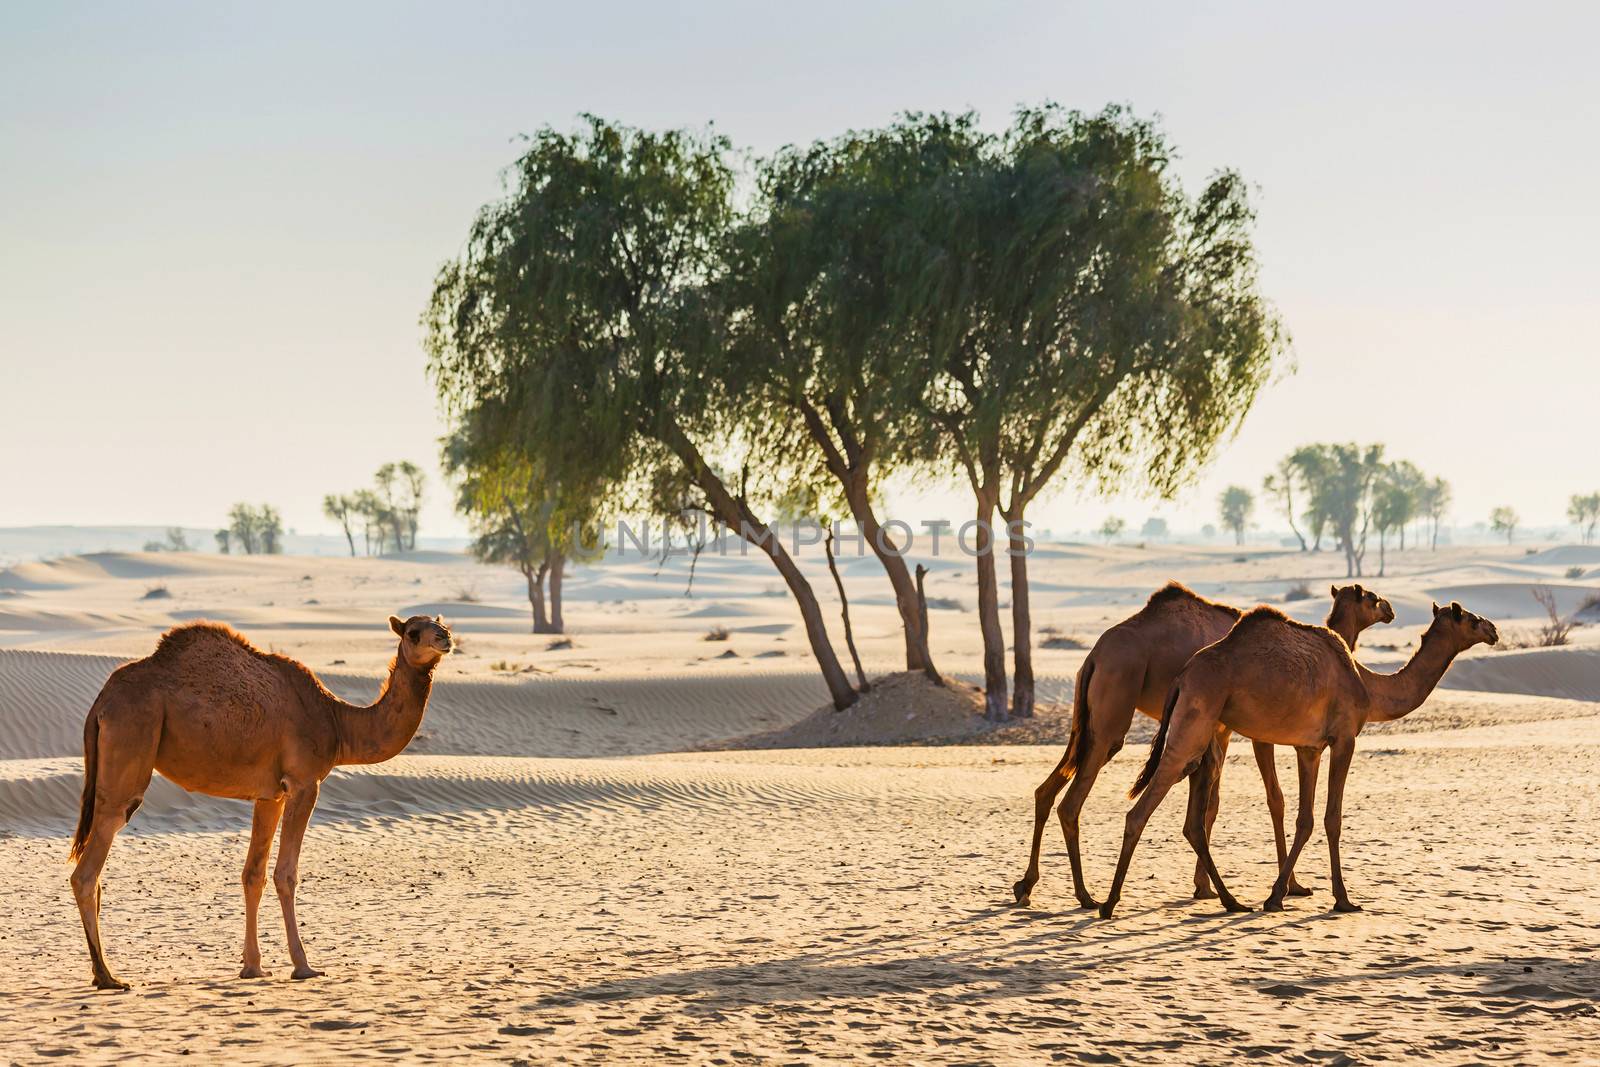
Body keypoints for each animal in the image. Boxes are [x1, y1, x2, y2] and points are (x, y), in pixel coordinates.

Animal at [64, 617, 448, 991]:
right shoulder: (304, 783)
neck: (338, 722)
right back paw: (107, 975)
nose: (445, 638)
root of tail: (101, 703)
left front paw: (252, 967)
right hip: (132, 740)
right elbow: (285, 874)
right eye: (414, 632)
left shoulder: (270, 795)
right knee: (88, 869)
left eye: (439, 623)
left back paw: (101, 973)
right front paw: (303, 966)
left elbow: (253, 874)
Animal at [1017, 585, 1395, 908]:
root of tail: (1094, 655)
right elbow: (1268, 801)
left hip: (1088, 720)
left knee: (1047, 789)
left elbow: (1213, 804)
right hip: (1117, 704)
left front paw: (1209, 886)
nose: (1390, 609)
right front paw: (1284, 886)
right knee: (1074, 798)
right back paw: (1086, 895)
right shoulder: (1251, 734)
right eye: (1372, 598)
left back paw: (1027, 887)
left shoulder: (1223, 731)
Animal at [1100, 601, 1497, 921]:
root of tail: (1182, 677)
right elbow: (1332, 818)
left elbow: (1305, 819)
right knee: (1143, 808)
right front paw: (1341, 899)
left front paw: (1279, 895)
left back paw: (1225, 901)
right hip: (1195, 723)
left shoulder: (1310, 748)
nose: (1493, 629)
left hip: (1202, 729)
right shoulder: (1345, 739)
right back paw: (1112, 902)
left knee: (1189, 820)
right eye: (1470, 618)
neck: (1368, 686)